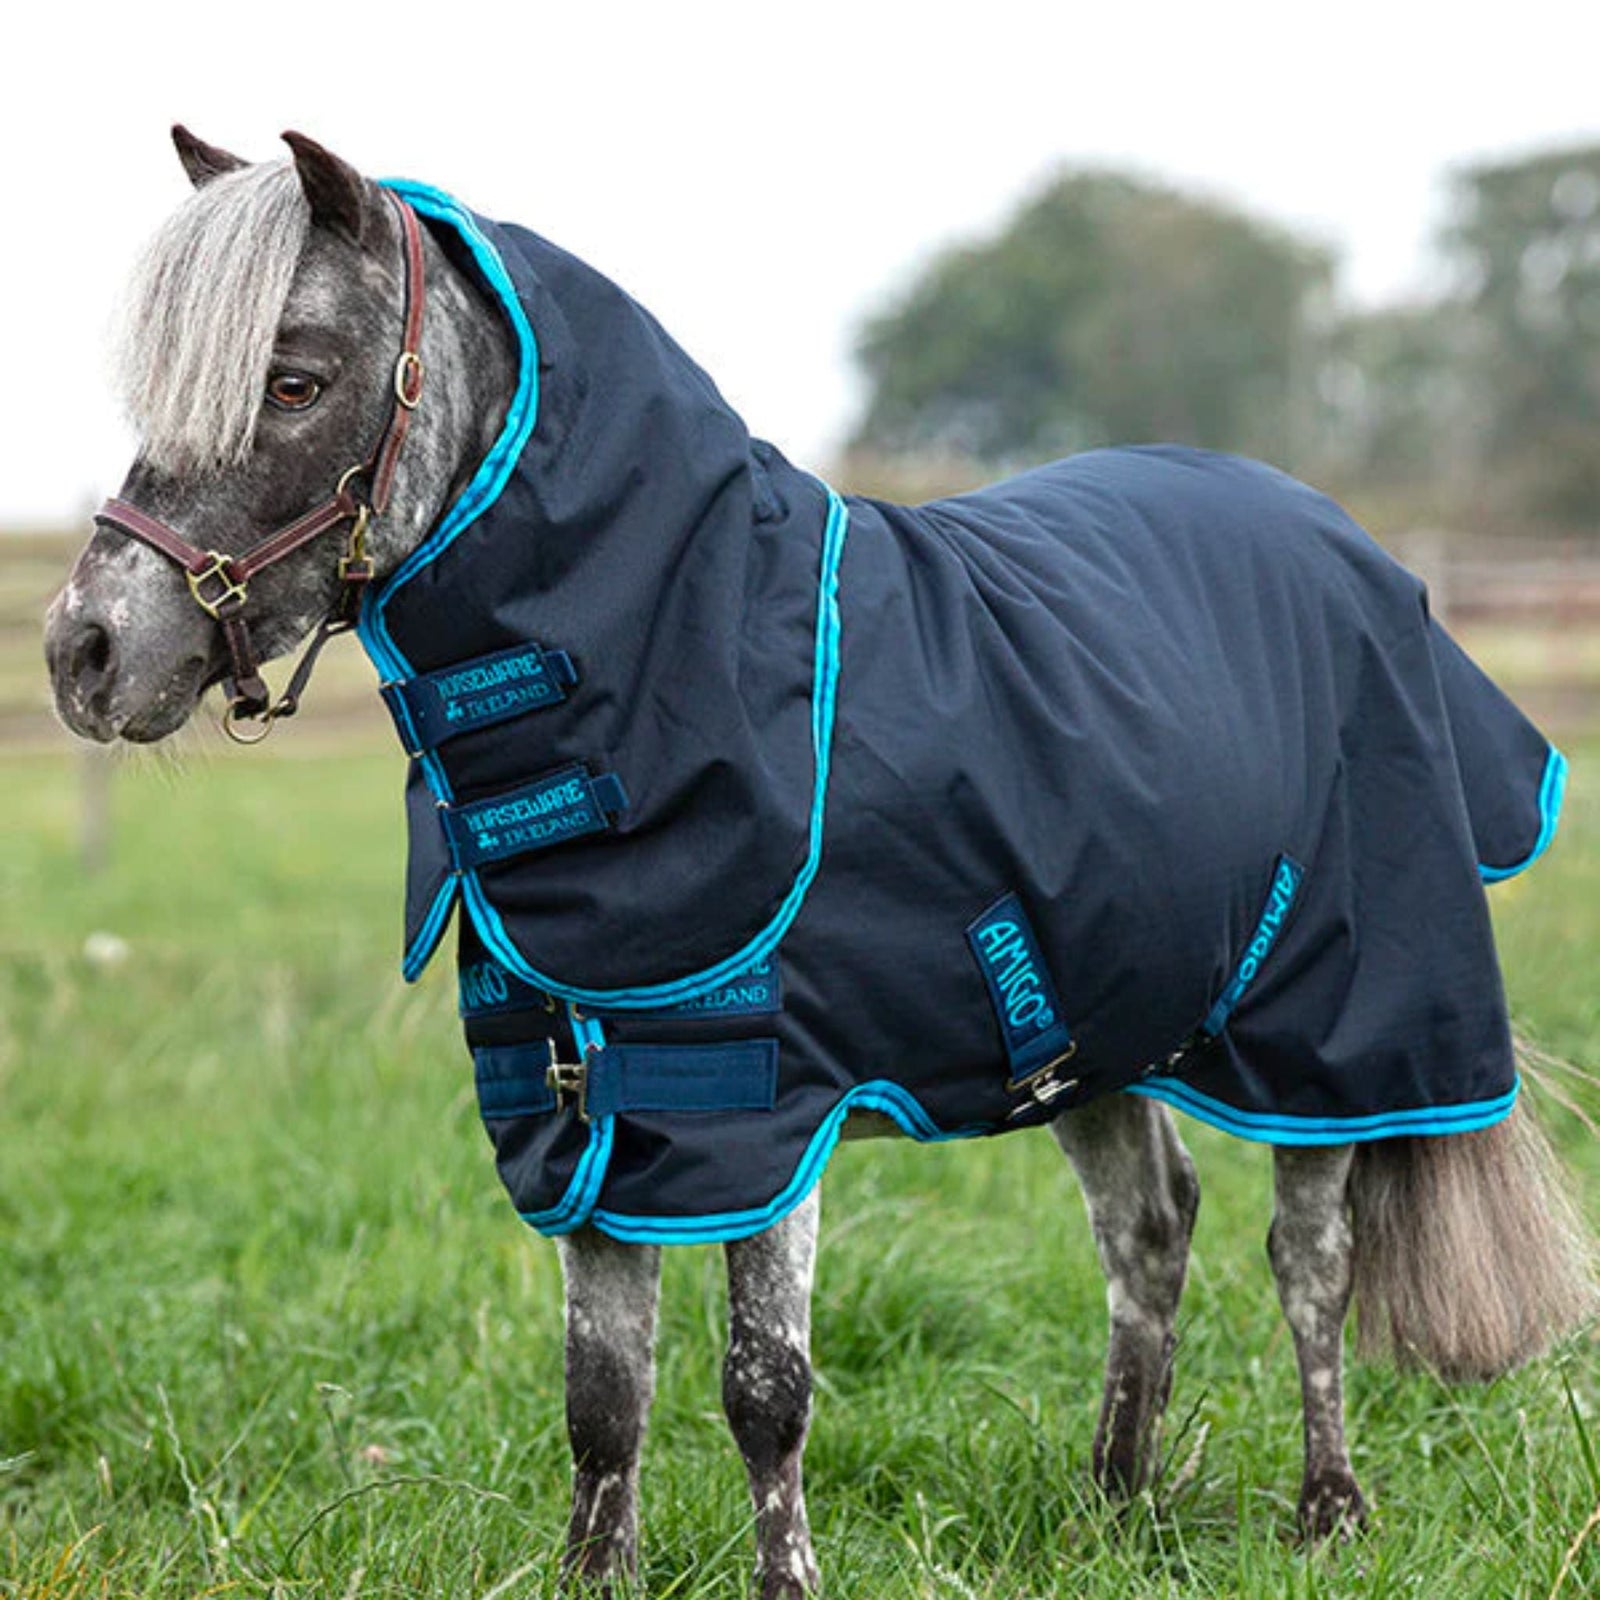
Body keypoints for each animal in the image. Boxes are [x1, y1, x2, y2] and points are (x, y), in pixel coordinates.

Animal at [44, 129, 1596, 1598]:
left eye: (296, 380)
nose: (84, 651)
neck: (688, 653)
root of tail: (1347, 543)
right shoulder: (585, 1108)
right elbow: (602, 1393)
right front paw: (594, 1574)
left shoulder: (765, 1107)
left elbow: (762, 1388)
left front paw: (784, 1576)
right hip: (1096, 1016)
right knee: (1150, 1231)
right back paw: (1115, 1504)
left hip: (1335, 1026)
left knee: (1308, 1258)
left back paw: (1326, 1513)